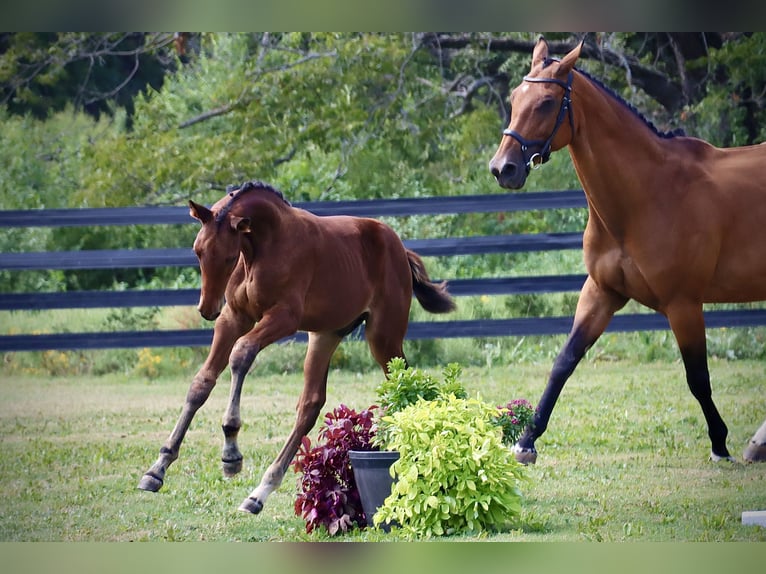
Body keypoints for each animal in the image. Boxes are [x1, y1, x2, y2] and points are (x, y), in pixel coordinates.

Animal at [138, 182, 456, 516]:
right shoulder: (234, 317)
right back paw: (259, 493)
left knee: (403, 384)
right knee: (310, 403)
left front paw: (231, 452)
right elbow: (202, 382)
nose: (207, 309)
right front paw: (157, 468)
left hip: (383, 336)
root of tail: (400, 250)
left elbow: (241, 354)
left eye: (228, 257)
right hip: (325, 334)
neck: (263, 248)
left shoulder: (283, 318)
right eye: (197, 251)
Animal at [492, 36, 766, 466]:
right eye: (515, 97)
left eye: (547, 103)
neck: (646, 195)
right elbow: (563, 362)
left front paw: (720, 444)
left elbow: (698, 378)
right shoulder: (602, 293)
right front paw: (526, 440)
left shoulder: (684, 304)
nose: (503, 169)